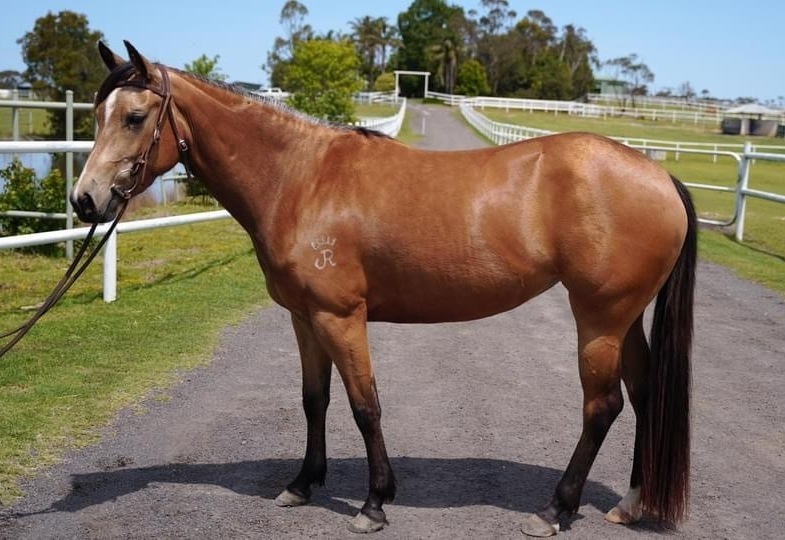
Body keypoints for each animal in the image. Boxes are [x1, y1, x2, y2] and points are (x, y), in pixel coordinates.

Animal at [70, 41, 696, 536]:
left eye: (133, 117)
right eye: (97, 113)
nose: (84, 200)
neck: (301, 179)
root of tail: (659, 174)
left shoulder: (341, 317)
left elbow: (364, 405)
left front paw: (373, 503)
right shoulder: (305, 318)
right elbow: (315, 401)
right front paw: (303, 484)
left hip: (599, 318)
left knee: (602, 407)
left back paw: (553, 511)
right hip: (624, 319)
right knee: (644, 394)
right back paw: (631, 504)